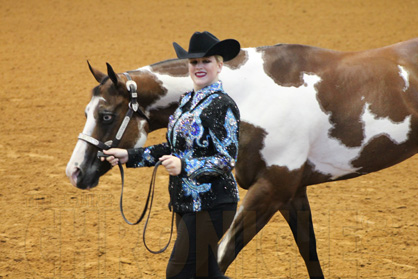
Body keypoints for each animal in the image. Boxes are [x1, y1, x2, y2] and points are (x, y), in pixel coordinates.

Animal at [65, 37, 418, 279]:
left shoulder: (271, 190)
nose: (75, 171)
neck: (253, 94)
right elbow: (309, 252)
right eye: (85, 112)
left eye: (107, 115)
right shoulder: (292, 192)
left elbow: (220, 257)